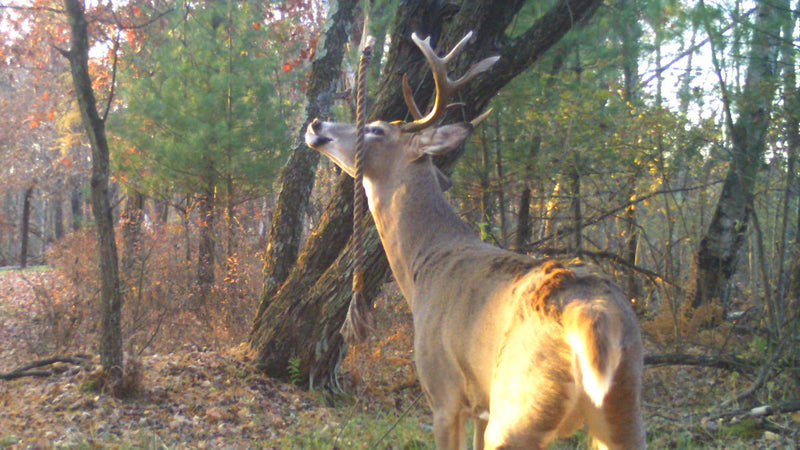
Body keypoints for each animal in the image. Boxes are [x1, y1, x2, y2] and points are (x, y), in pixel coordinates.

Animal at [305, 31, 646, 449]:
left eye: (377, 129)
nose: (316, 124)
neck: (424, 264)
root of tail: (595, 317)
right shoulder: (481, 403)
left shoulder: (444, 392)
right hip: (623, 408)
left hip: (519, 407)